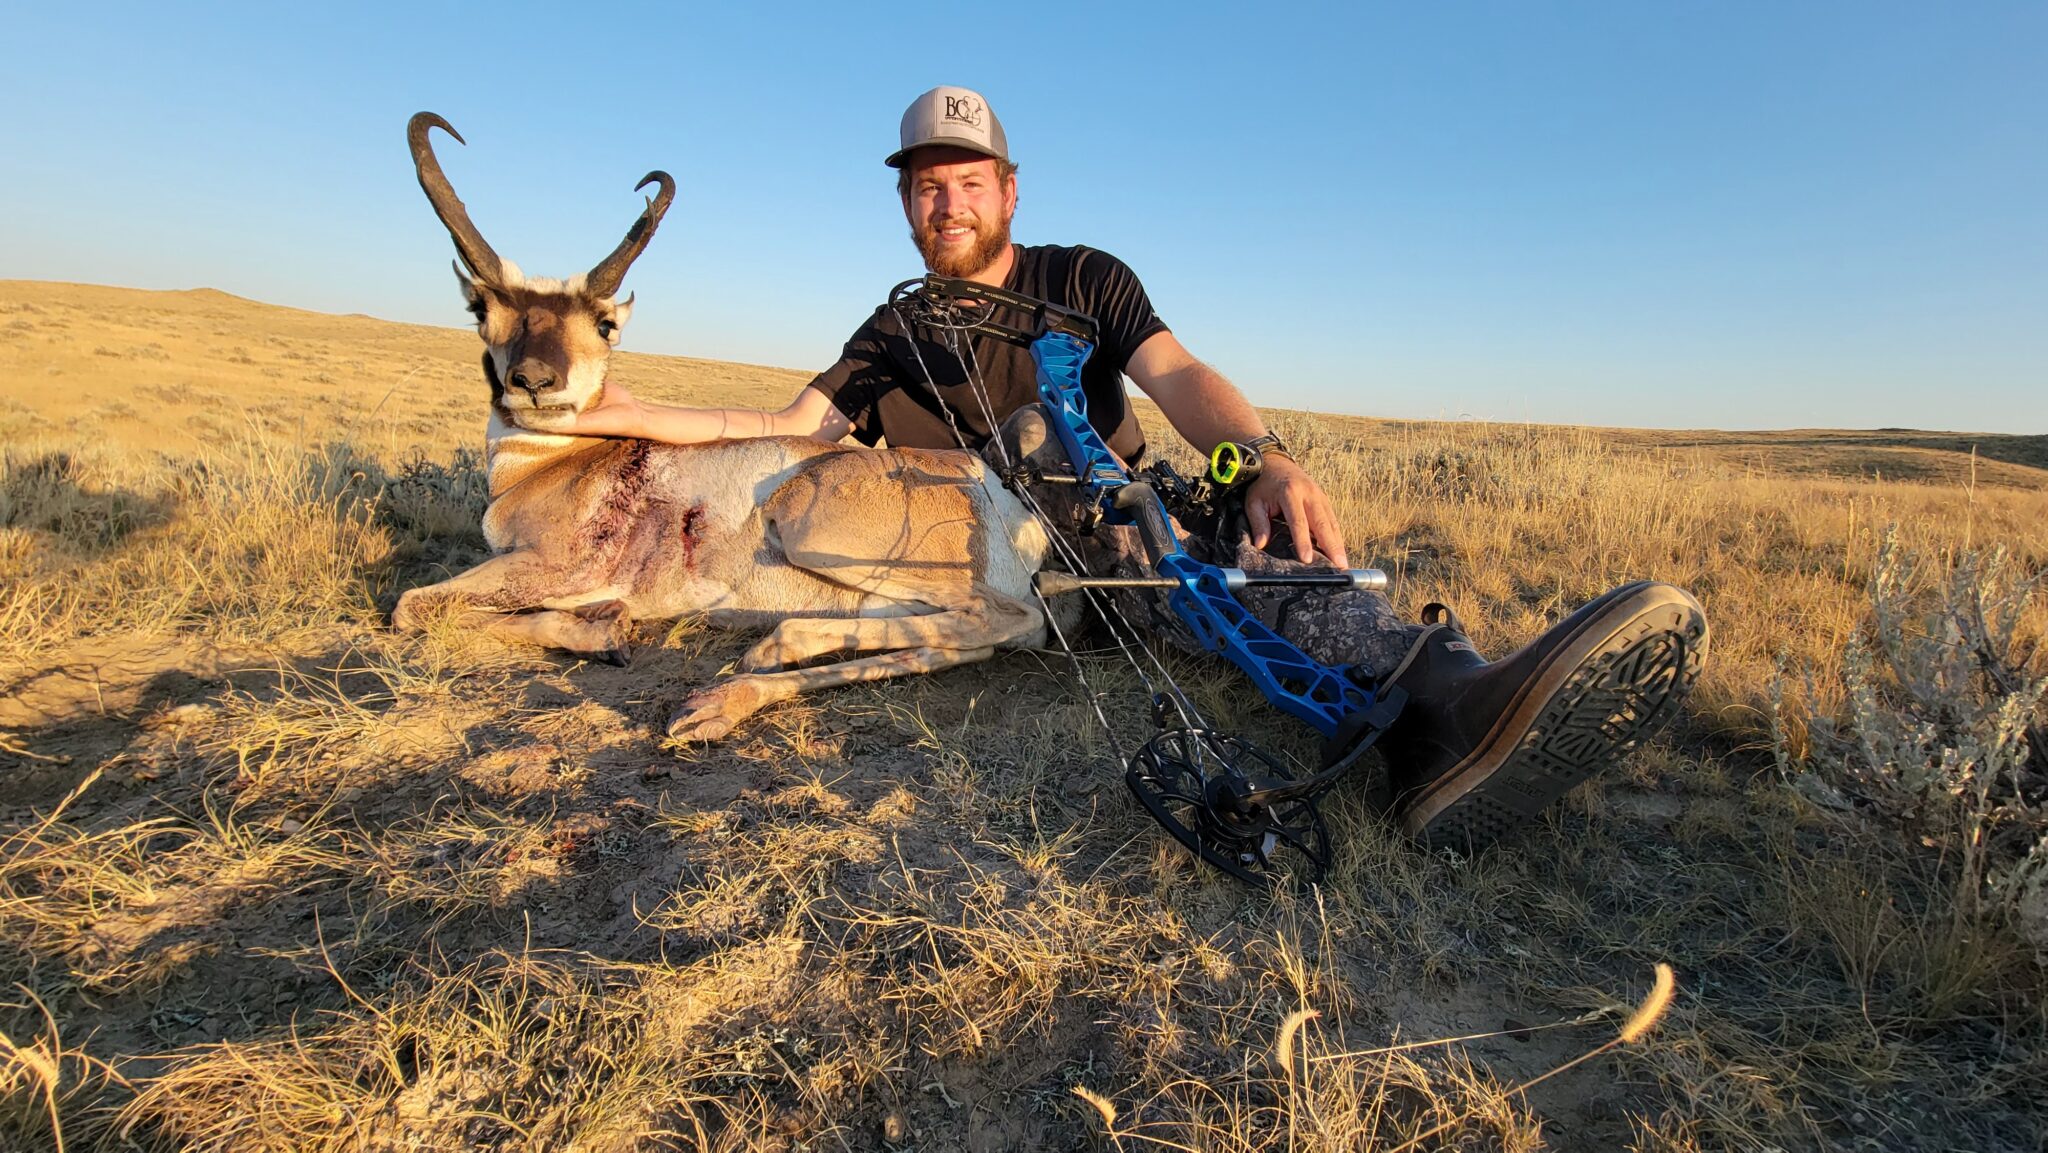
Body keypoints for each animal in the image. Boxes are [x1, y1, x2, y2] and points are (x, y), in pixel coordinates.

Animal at [394, 112, 1054, 741]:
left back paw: (757, 659)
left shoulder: (549, 566)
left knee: (1013, 619)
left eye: (604, 323)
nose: (534, 380)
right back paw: (729, 693)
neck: (555, 464)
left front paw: (606, 631)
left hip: (809, 528)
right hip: (886, 602)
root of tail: (988, 478)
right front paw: (607, 625)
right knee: (959, 640)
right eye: (482, 308)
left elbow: (414, 605)